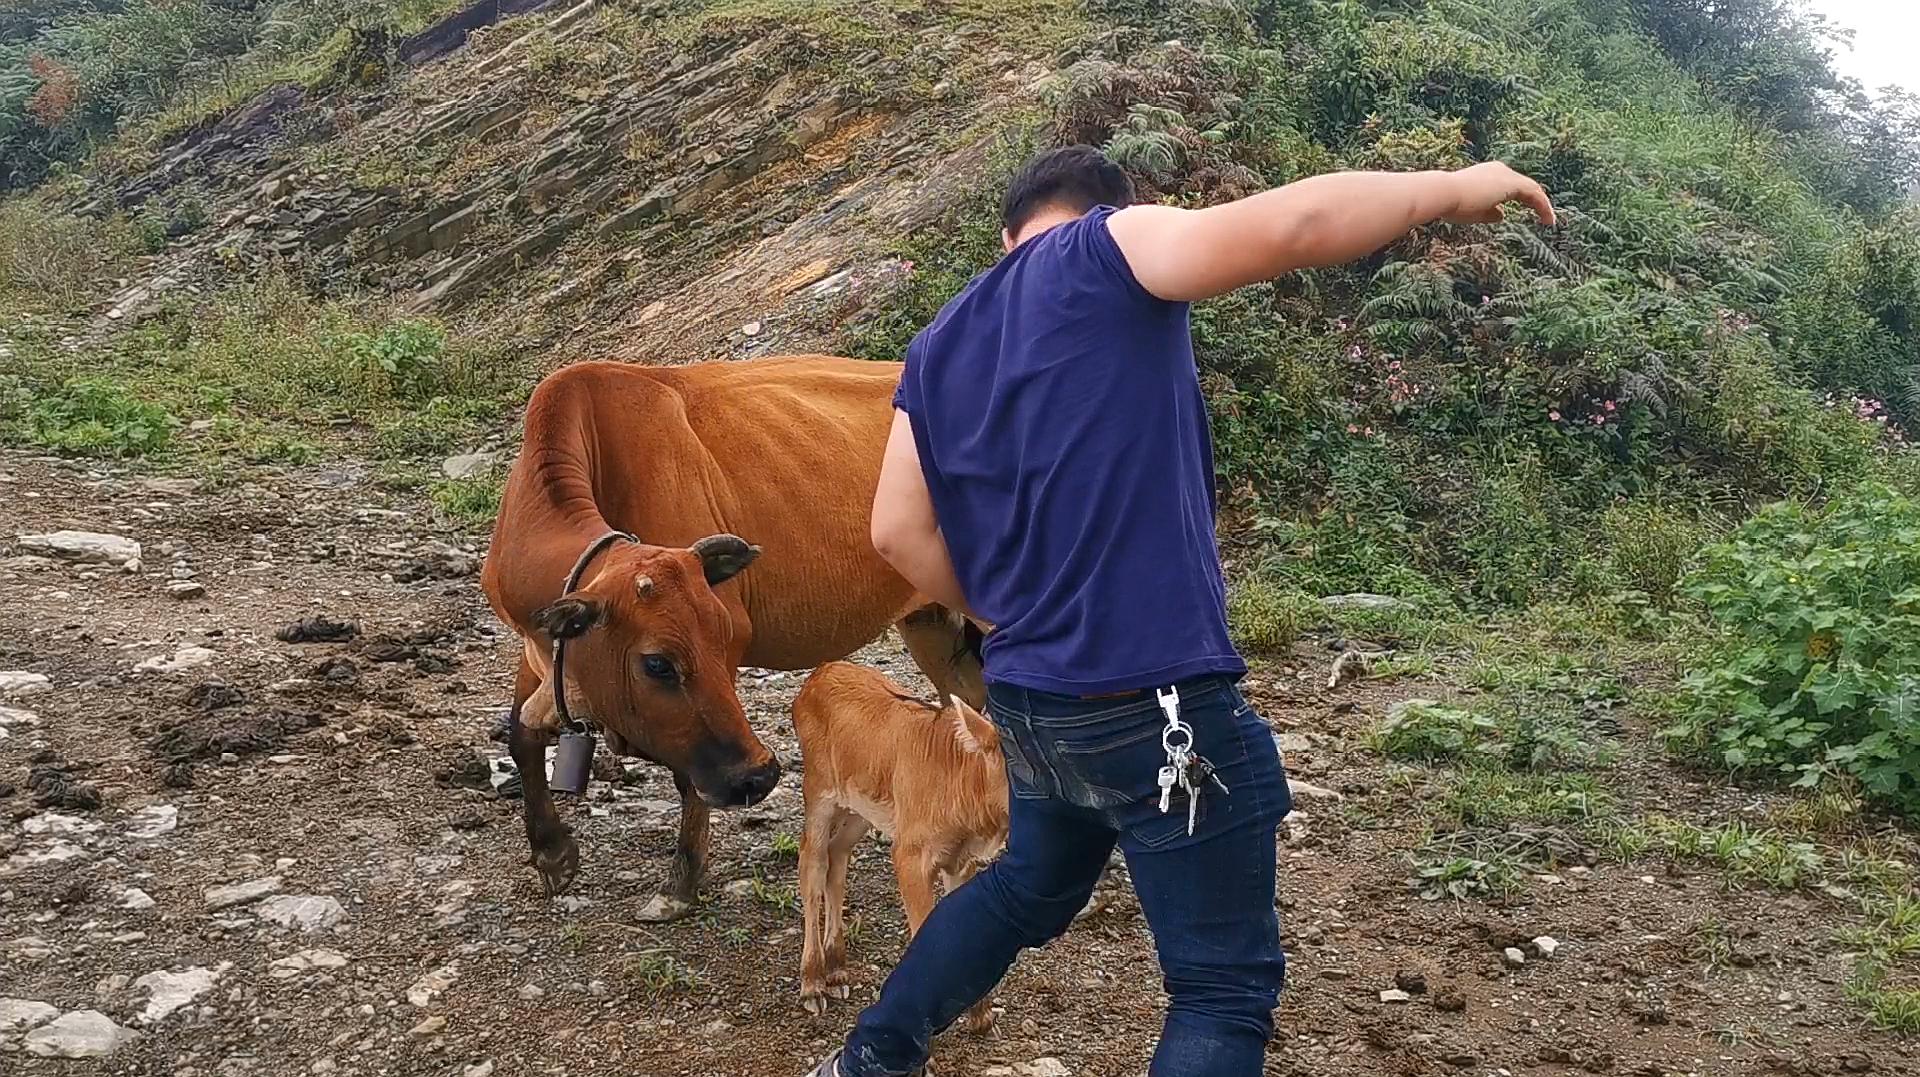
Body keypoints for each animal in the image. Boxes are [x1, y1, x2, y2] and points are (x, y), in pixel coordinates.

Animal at [480, 357, 990, 921]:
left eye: (727, 636)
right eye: (656, 663)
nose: (760, 776)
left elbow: (691, 772)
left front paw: (681, 881)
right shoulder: (544, 646)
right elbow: (521, 733)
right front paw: (551, 852)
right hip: (931, 621)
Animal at [791, 660, 1013, 1029]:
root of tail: (820, 672)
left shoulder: (960, 859)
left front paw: (980, 1014)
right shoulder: (909, 855)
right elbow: (925, 929)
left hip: (861, 806)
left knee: (838, 855)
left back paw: (836, 967)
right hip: (819, 792)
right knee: (812, 861)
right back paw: (812, 982)